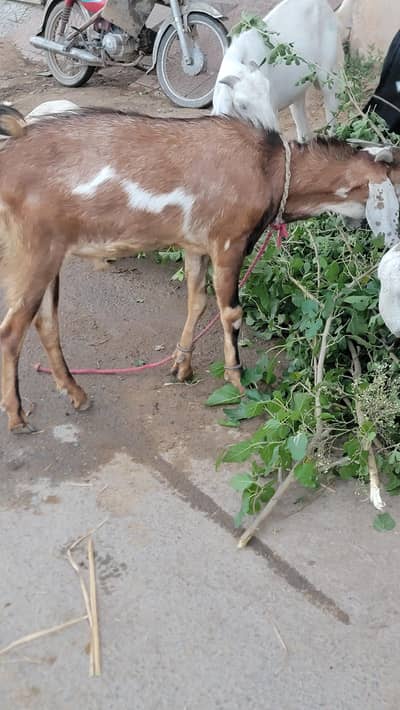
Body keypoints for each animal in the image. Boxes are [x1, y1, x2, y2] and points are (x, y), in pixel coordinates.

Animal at [0, 106, 399, 435]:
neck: (269, 169)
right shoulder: (228, 243)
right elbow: (231, 312)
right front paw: (239, 384)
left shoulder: (194, 246)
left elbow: (197, 301)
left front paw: (181, 365)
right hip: (34, 251)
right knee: (12, 329)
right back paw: (18, 417)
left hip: (49, 255)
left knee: (45, 323)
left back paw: (77, 394)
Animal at [212, 0, 344, 141]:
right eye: (242, 105)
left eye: (267, 93)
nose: (271, 130)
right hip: (297, 91)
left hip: (328, 71)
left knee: (331, 101)